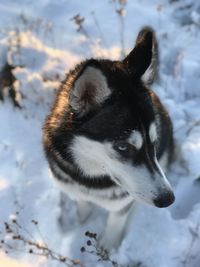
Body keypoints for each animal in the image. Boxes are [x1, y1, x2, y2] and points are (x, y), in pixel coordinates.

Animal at [42, 27, 175, 251]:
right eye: (123, 147)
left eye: (154, 142)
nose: (168, 199)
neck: (89, 179)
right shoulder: (74, 189)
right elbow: (82, 205)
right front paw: (81, 222)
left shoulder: (122, 203)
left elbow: (115, 223)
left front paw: (108, 248)